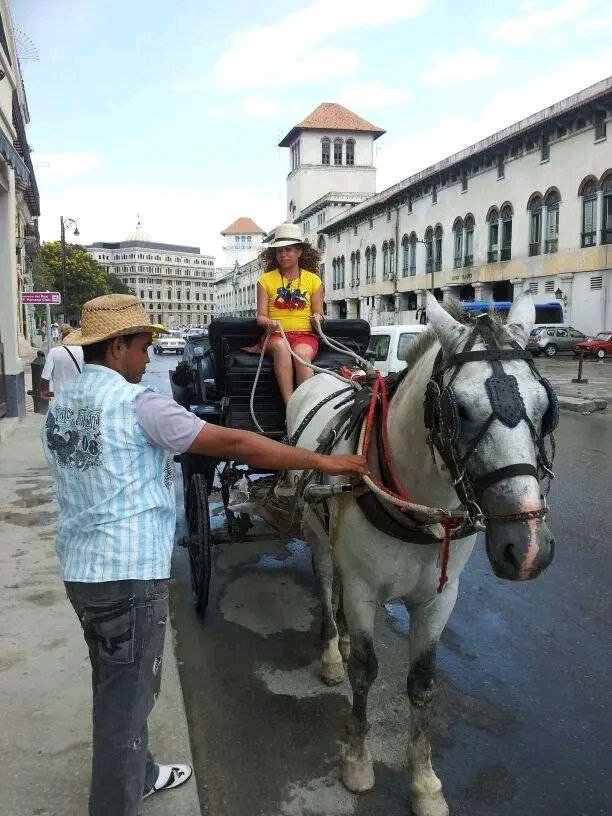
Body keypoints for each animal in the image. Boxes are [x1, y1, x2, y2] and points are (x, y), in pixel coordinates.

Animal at [282, 294, 556, 816]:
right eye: (458, 410)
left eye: (544, 405)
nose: (528, 548)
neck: (419, 507)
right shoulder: (365, 590)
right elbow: (366, 671)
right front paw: (358, 760)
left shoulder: (439, 599)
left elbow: (423, 683)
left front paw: (425, 783)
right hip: (313, 526)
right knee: (327, 581)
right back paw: (331, 649)